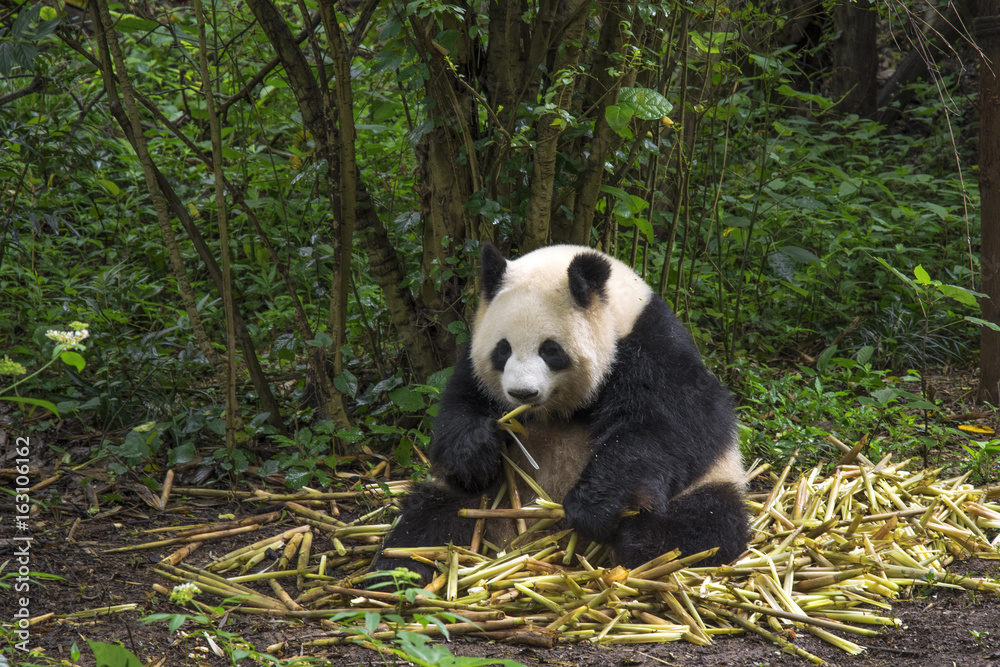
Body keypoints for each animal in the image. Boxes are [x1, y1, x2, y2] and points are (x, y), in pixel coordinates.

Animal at [373, 243, 747, 583]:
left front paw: (591, 506)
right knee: (428, 525)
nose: (522, 393)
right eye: (503, 349)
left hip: (710, 484)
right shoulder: (470, 363)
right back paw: (398, 573)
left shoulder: (654, 348)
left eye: (550, 350)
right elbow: (458, 411)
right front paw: (477, 450)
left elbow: (671, 427)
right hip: (476, 504)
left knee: (701, 526)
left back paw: (643, 543)